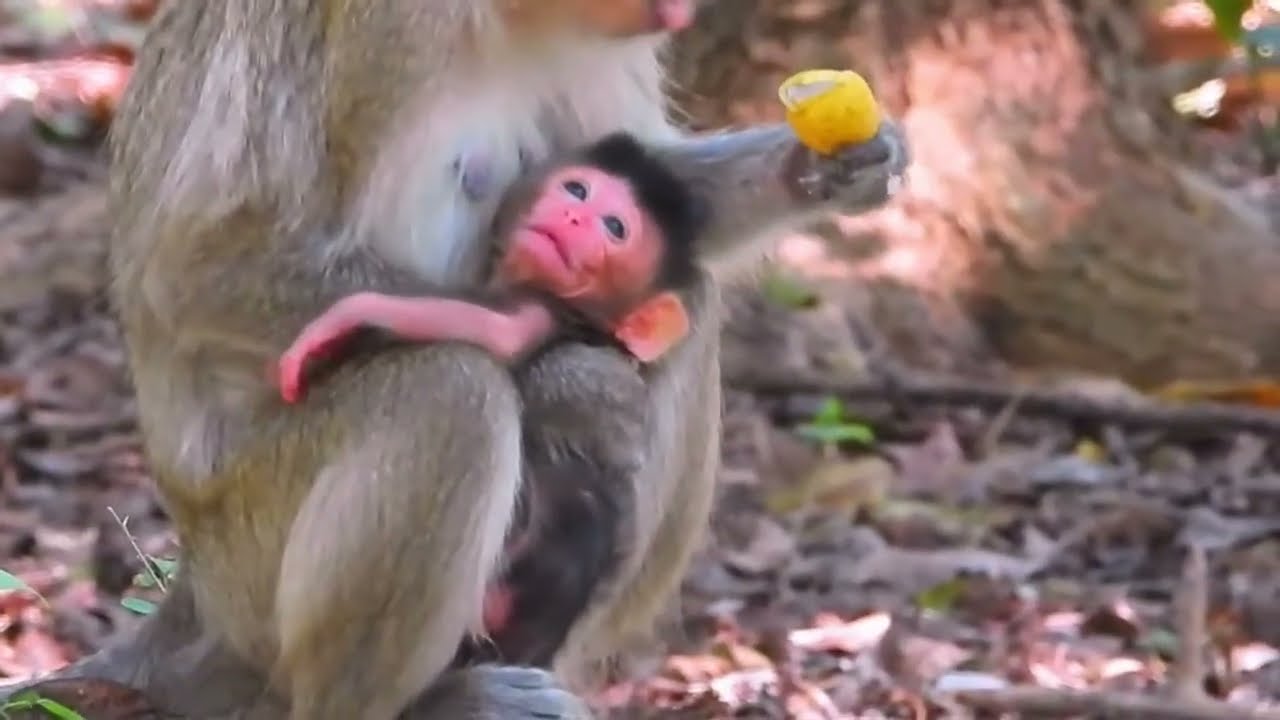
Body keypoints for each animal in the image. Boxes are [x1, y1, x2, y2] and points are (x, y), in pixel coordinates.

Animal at [104, 1, 909, 719]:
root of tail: (193, 598)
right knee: (448, 389)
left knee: (692, 307)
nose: (576, 220)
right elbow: (205, 267)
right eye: (576, 197)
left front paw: (819, 166)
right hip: (246, 559)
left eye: (609, 219)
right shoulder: (381, 32)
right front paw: (573, 381)